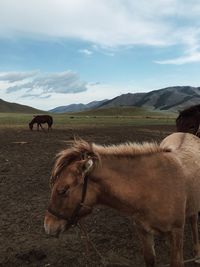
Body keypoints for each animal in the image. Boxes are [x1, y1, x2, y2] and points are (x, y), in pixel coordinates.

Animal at [44, 134, 200, 267]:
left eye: (62, 190)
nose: (48, 225)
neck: (152, 187)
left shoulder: (176, 232)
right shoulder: (143, 230)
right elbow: (150, 259)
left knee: (193, 222)